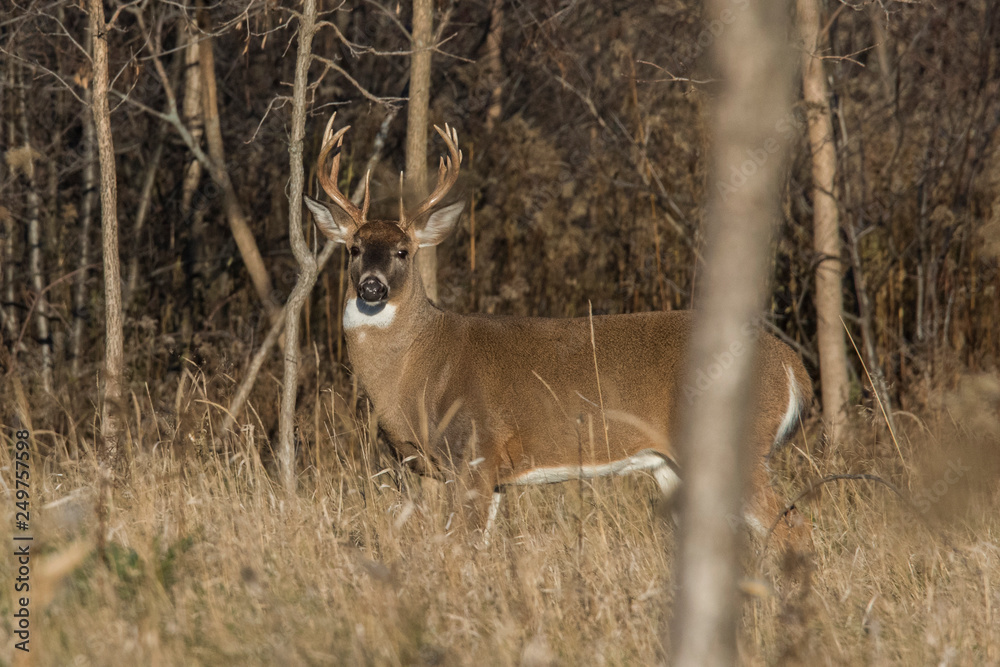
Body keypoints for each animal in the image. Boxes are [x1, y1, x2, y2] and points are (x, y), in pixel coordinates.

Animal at [304, 113, 813, 546]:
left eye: (404, 251)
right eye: (353, 249)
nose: (372, 287)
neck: (420, 368)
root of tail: (791, 364)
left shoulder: (474, 453)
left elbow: (462, 545)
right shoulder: (491, 475)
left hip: (739, 446)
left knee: (791, 528)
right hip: (674, 463)